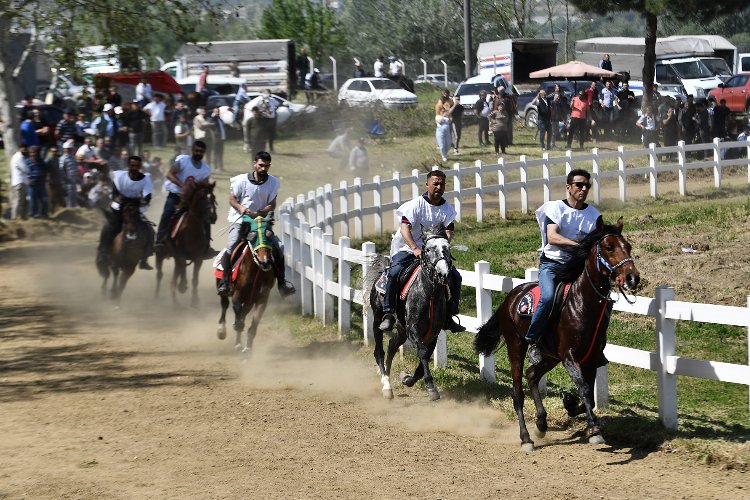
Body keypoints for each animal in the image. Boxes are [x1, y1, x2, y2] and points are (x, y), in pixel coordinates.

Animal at [156, 178, 217, 306]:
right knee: (160, 275)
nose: (212, 217)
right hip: (160, 255)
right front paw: (182, 286)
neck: (192, 230)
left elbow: (195, 279)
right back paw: (158, 297)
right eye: (201, 197)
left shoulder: (198, 258)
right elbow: (182, 267)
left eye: (213, 197)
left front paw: (195, 300)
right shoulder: (180, 254)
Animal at [216, 215, 278, 356]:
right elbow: (239, 319)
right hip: (222, 288)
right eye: (252, 237)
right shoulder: (237, 296)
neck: (255, 272)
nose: (265, 262)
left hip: (250, 301)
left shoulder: (261, 300)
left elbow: (252, 326)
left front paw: (247, 350)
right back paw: (222, 330)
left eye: (270, 235)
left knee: (243, 313)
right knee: (224, 304)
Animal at [368, 225, 456, 400]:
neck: (429, 295)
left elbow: (424, 360)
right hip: (377, 320)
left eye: (447, 247)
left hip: (401, 329)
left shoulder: (433, 333)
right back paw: (386, 385)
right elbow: (422, 353)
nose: (444, 274)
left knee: (392, 345)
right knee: (379, 351)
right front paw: (431, 387)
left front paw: (407, 379)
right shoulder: (413, 329)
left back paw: (389, 376)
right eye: (428, 249)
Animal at [476, 217, 640, 452]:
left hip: (550, 356)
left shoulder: (591, 357)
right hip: (517, 346)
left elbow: (588, 394)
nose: (632, 277)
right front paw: (595, 430)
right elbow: (584, 388)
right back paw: (526, 438)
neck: (581, 304)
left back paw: (541, 423)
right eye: (608, 247)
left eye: (628, 246)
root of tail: (511, 297)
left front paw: (571, 406)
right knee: (518, 392)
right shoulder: (569, 355)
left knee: (532, 374)